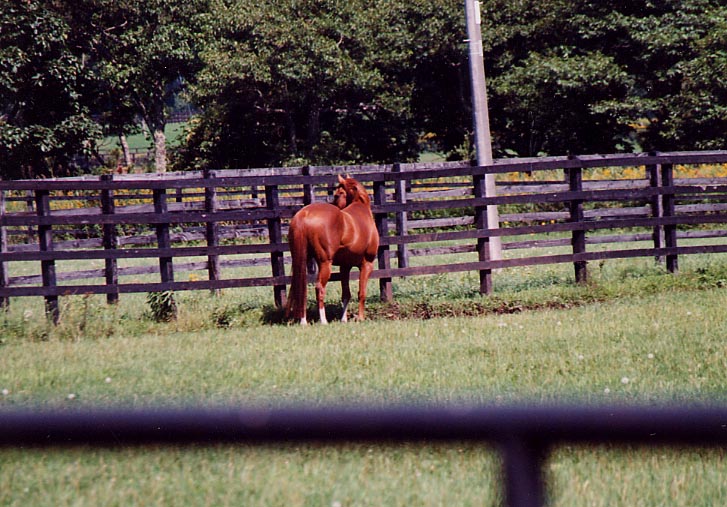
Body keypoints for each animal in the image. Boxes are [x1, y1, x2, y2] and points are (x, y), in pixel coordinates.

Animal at [285, 175, 379, 325]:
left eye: (337, 194)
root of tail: (304, 214)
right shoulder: (367, 264)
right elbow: (361, 293)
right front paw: (360, 318)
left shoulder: (345, 267)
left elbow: (346, 294)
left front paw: (343, 319)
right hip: (325, 263)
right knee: (319, 288)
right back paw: (323, 321)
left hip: (301, 260)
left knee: (300, 288)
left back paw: (303, 321)